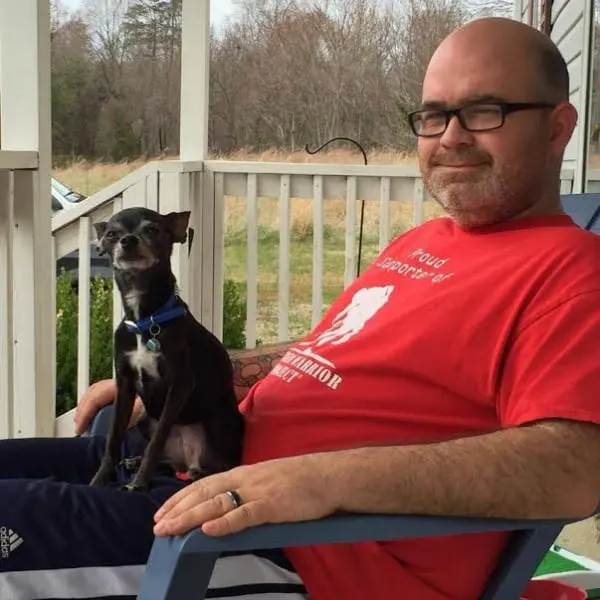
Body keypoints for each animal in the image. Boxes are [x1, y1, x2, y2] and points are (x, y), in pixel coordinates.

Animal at [89, 209, 244, 490]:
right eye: (112, 234)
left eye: (153, 230)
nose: (128, 240)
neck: (145, 321)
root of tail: (187, 461)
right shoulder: (125, 384)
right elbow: (113, 439)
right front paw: (99, 479)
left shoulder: (180, 383)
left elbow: (157, 440)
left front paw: (138, 484)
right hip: (143, 420)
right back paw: (136, 462)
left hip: (217, 421)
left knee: (223, 464)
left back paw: (200, 473)